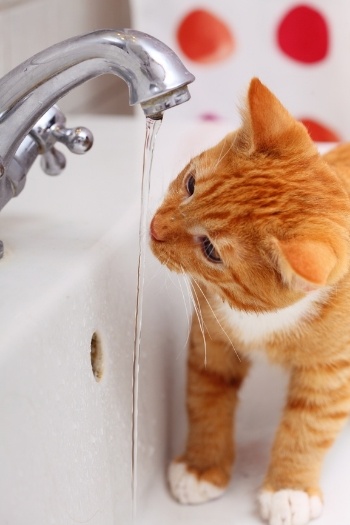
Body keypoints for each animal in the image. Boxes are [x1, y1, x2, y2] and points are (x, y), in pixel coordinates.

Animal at [149, 77, 350, 524]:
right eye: (191, 184)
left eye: (211, 250)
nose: (154, 229)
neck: (263, 320)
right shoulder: (211, 340)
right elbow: (206, 400)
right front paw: (202, 466)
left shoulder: (333, 371)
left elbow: (308, 427)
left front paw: (290, 489)